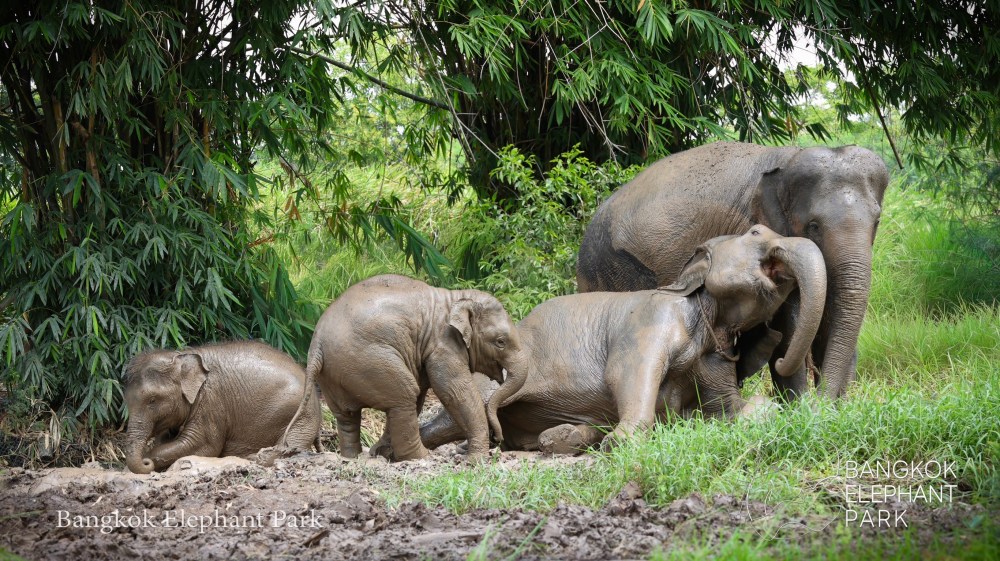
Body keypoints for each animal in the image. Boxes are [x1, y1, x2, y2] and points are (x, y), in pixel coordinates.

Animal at [124, 341, 321, 474]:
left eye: (152, 400)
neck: (183, 355)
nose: (145, 462)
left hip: (301, 415)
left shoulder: (211, 400)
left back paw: (255, 458)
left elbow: (202, 446)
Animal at [286, 274, 528, 462]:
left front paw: (381, 451)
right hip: (369, 362)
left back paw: (360, 456)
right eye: (500, 342)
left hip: (335, 375)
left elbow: (424, 394)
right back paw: (421, 458)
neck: (455, 297)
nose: (498, 438)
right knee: (404, 397)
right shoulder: (443, 346)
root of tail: (316, 343)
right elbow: (455, 392)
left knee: (349, 415)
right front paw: (476, 459)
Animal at [420, 226, 826, 453]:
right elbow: (627, 372)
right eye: (756, 232)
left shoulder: (715, 352)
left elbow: (729, 408)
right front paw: (624, 443)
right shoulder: (653, 317)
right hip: (484, 381)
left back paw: (565, 438)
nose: (780, 359)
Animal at [576, 141, 889, 399]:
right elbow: (791, 318)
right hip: (613, 269)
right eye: (813, 226)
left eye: (877, 221)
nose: (824, 402)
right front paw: (799, 409)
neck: (788, 157)